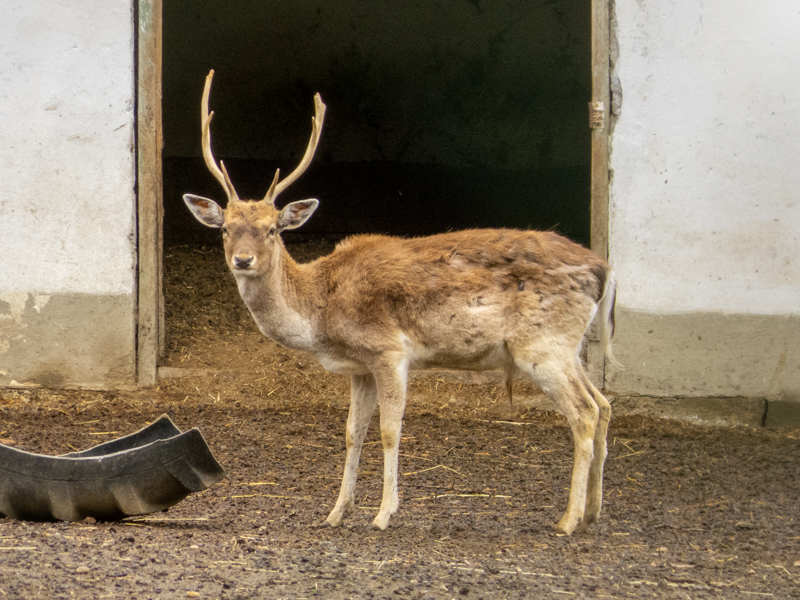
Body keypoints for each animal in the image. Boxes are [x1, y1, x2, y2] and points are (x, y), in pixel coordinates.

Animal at [184, 70, 619, 535]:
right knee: (604, 404)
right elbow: (352, 432)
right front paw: (335, 513)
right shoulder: (360, 368)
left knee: (584, 412)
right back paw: (593, 511)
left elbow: (390, 430)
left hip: (544, 346)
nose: (243, 260)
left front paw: (383, 514)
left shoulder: (389, 351)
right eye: (225, 228)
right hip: (568, 347)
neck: (322, 309)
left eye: (272, 229)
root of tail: (604, 269)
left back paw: (568, 520)